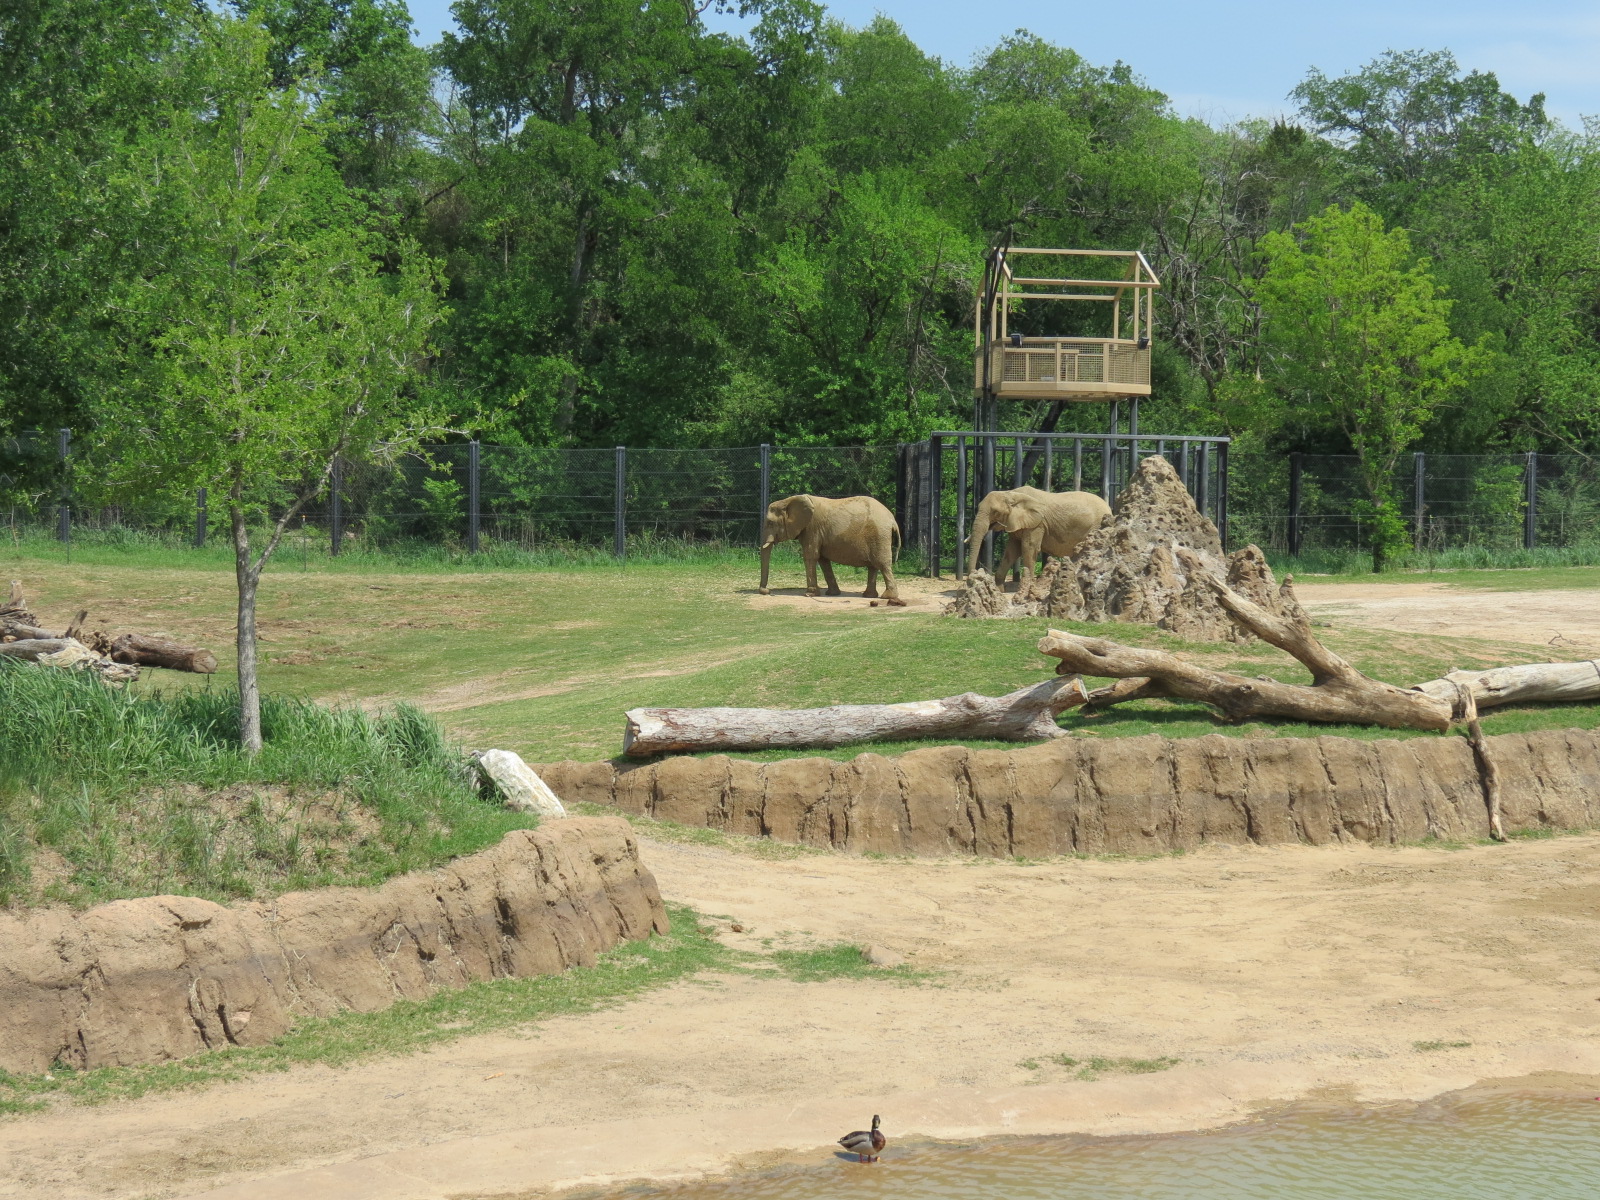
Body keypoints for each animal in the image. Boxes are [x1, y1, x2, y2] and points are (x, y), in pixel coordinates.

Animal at [759, 494, 906, 605]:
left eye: (770, 523)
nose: (767, 591)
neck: (788, 501)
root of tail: (892, 519)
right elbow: (822, 560)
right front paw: (831, 594)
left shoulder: (812, 529)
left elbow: (811, 556)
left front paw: (809, 594)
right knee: (873, 566)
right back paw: (869, 596)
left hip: (879, 535)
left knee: (883, 564)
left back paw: (887, 597)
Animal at [966, 485, 1111, 589]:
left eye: (995, 512)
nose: (971, 580)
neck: (1011, 493)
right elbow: (1012, 551)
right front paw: (999, 591)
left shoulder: (1037, 524)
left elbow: (1028, 548)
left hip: (1096, 527)